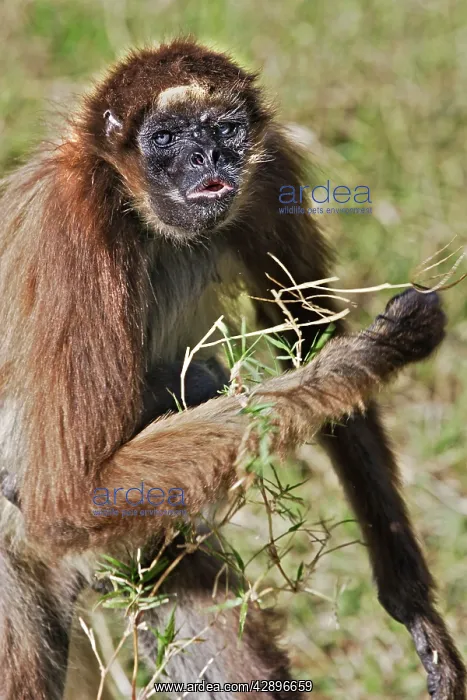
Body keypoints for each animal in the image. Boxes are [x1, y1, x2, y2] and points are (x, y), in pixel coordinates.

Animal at [0, 39, 464, 700]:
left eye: (225, 129)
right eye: (166, 138)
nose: (207, 156)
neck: (137, 212)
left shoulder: (268, 174)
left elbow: (308, 335)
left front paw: (415, 607)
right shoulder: (74, 229)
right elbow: (66, 497)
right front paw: (375, 350)